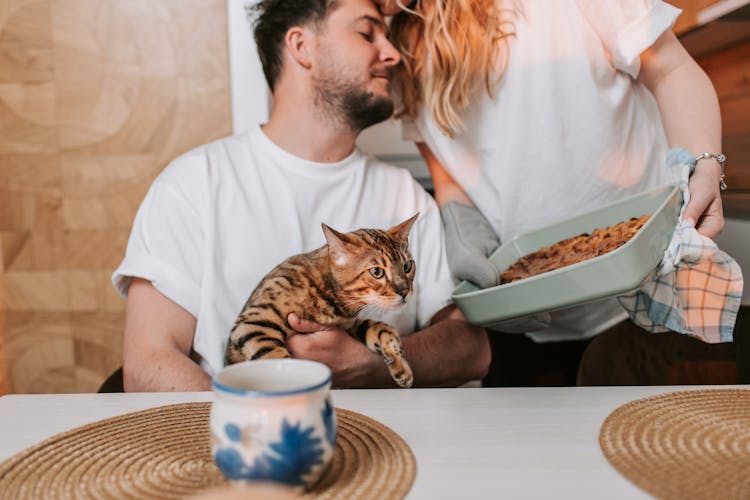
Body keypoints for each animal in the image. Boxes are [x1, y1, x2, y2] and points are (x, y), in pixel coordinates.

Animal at [226, 213, 420, 388]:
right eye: (377, 272)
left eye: (407, 266)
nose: (404, 291)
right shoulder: (254, 321)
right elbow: (275, 360)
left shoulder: (348, 324)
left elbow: (377, 327)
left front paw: (399, 362)